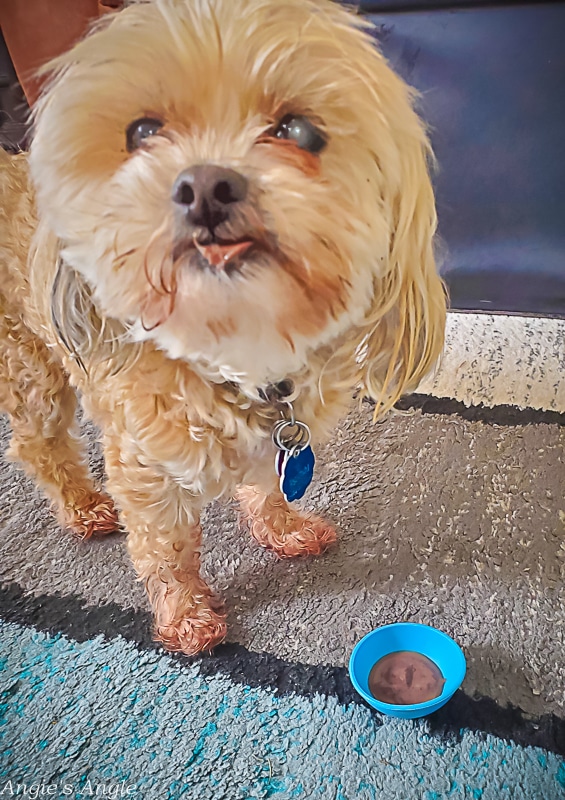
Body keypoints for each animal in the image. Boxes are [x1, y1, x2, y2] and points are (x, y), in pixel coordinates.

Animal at [0, 0, 446, 652]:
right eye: (142, 132)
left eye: (298, 130)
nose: (206, 184)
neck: (235, 350)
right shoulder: (143, 468)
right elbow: (166, 548)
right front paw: (186, 616)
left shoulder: (280, 442)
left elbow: (268, 486)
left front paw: (284, 527)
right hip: (29, 364)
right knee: (40, 442)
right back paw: (83, 504)